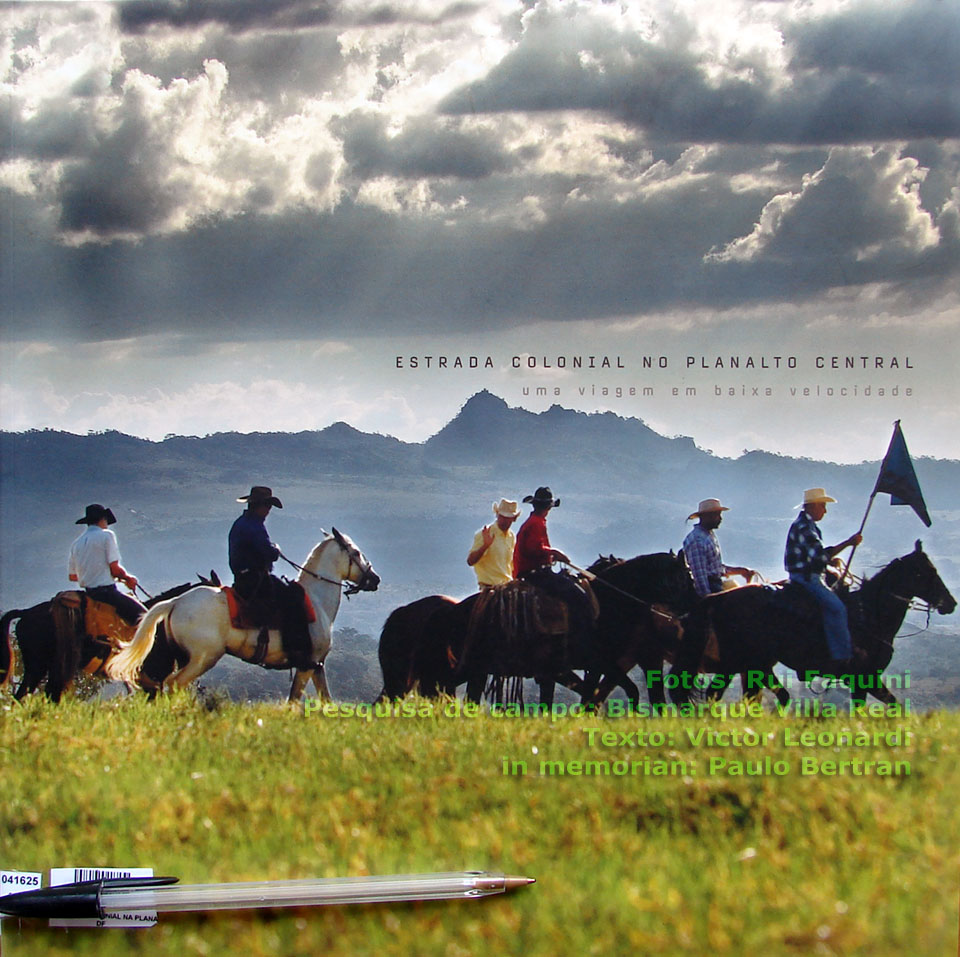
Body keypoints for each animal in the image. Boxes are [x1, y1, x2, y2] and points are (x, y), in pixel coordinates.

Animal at [108, 532, 378, 704]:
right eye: (356, 552)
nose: (375, 579)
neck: (317, 601)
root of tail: (175, 602)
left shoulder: (317, 665)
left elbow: (325, 699)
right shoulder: (306, 665)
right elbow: (294, 702)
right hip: (203, 658)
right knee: (174, 684)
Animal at [668, 540, 952, 704]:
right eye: (928, 571)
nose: (951, 603)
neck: (870, 615)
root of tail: (717, 599)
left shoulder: (862, 681)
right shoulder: (865, 677)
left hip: (749, 664)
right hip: (745, 663)